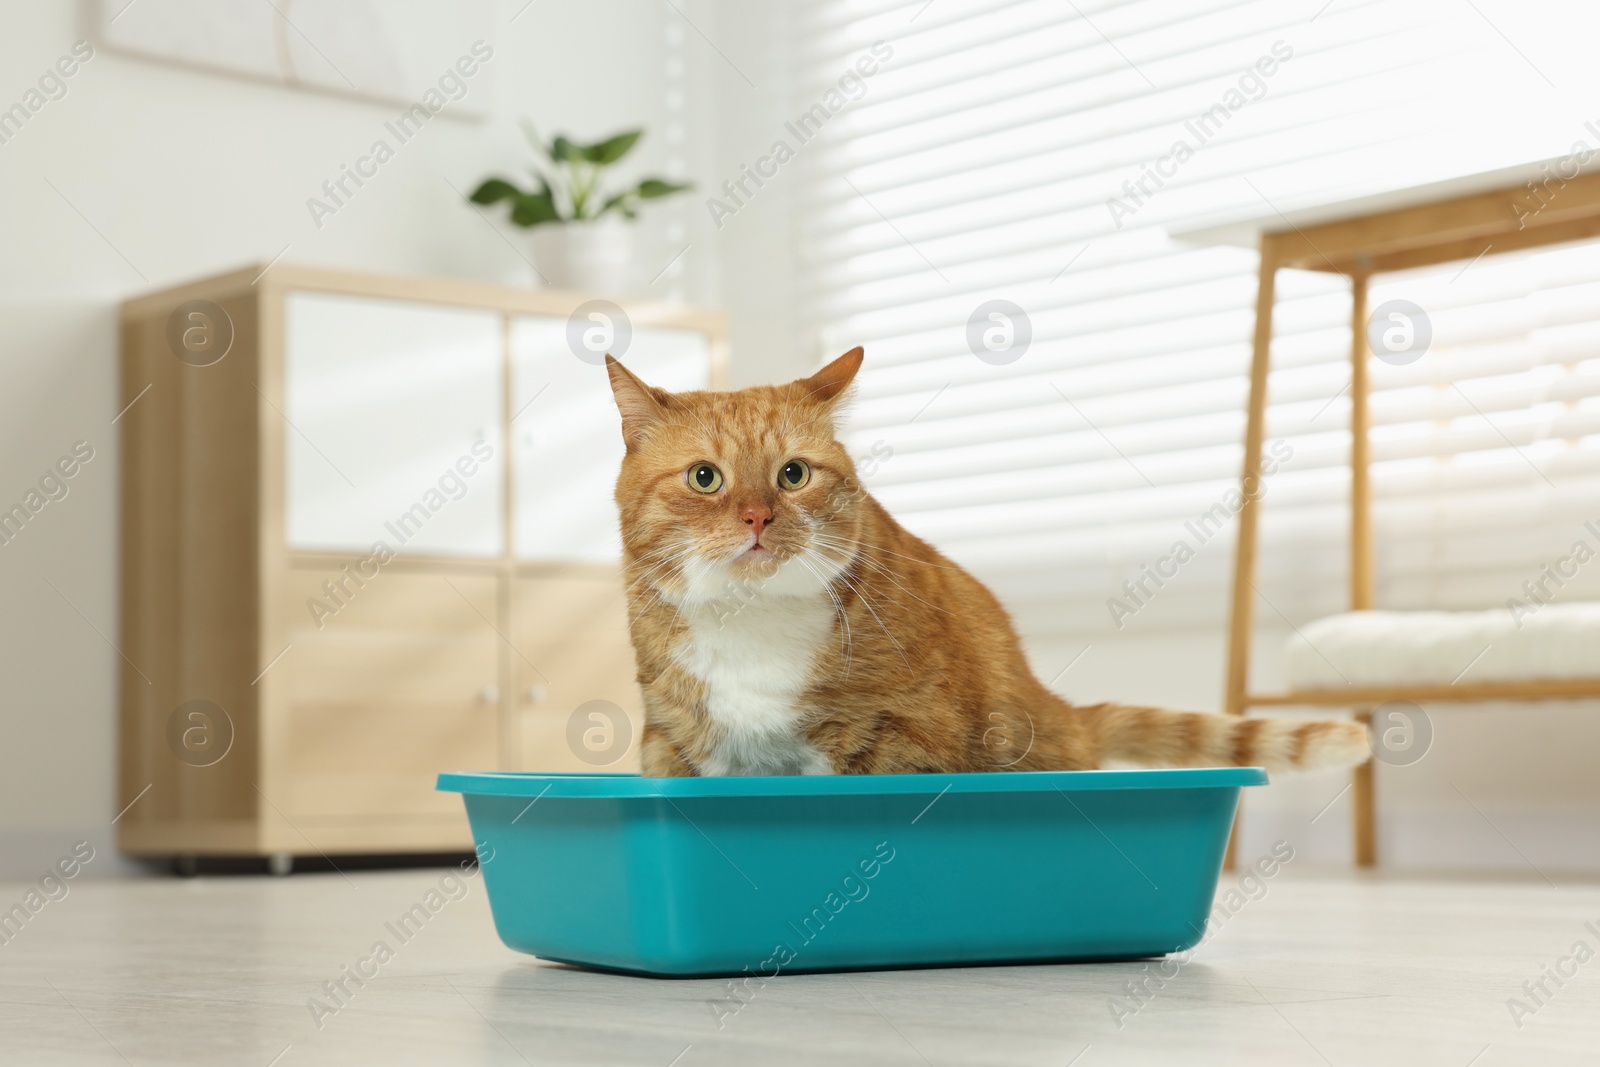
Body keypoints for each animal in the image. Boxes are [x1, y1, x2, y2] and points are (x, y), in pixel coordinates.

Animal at [604, 350, 1369, 777]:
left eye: (793, 475)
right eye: (705, 479)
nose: (758, 518)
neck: (752, 623)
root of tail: (1060, 709)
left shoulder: (905, 736)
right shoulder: (673, 745)